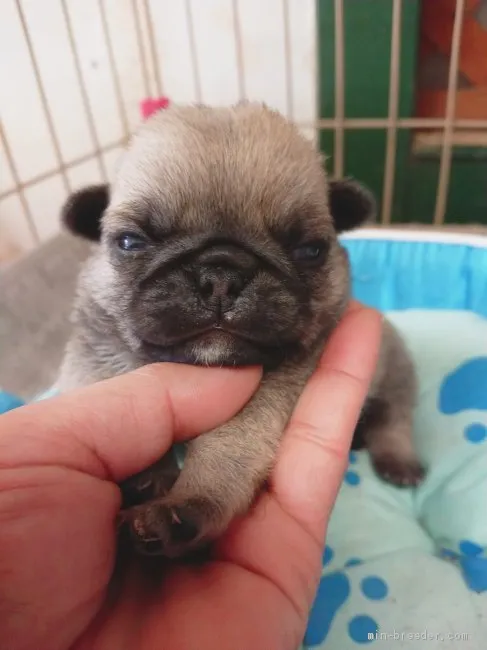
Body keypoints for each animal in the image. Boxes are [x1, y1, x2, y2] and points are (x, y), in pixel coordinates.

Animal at [58, 102, 424, 556]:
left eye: (309, 250)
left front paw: (184, 505)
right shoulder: (93, 360)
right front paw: (150, 478)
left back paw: (398, 460)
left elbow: (228, 446)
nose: (221, 274)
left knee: (395, 417)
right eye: (130, 242)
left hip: (396, 369)